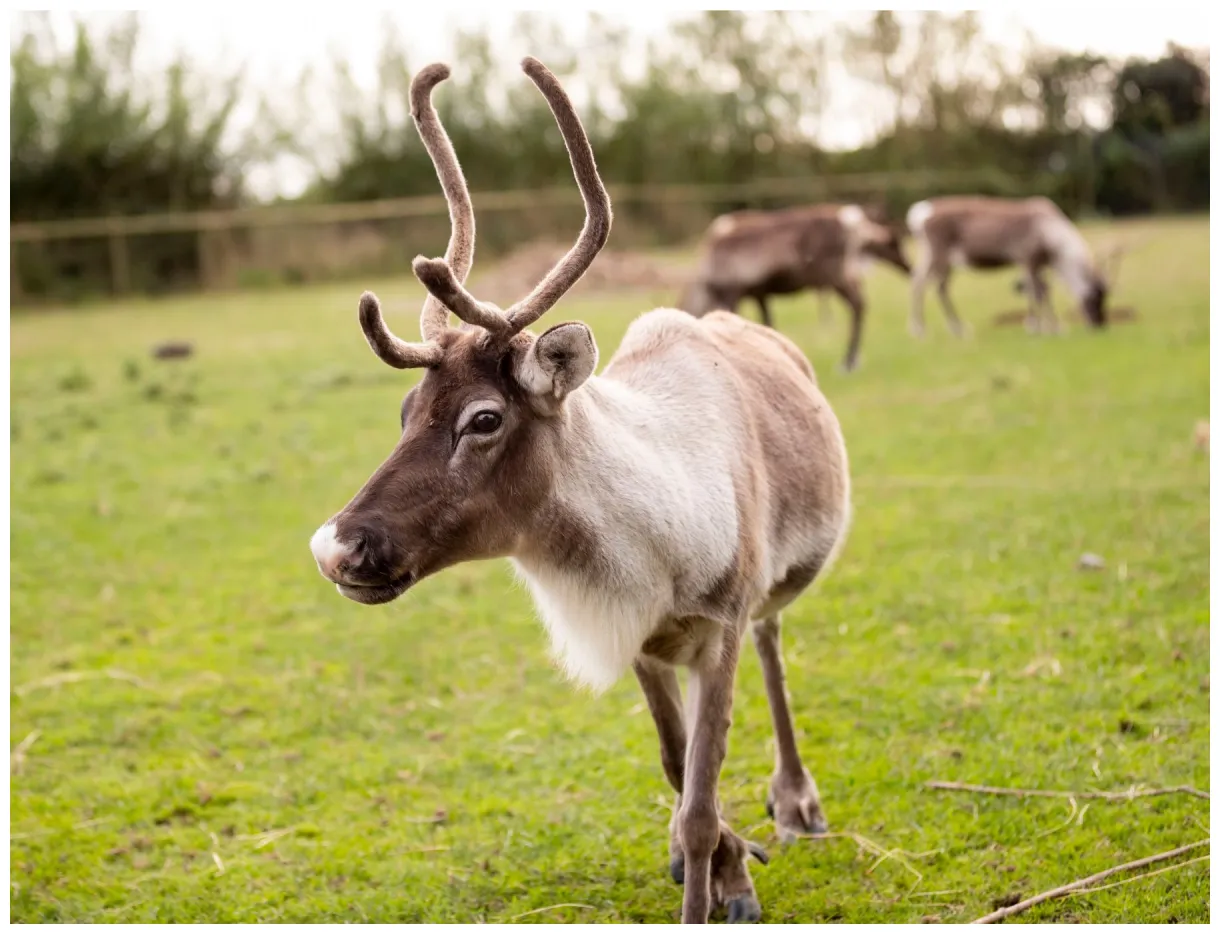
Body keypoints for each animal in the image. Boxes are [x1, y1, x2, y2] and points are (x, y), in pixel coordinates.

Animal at [308, 58, 852, 925]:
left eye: (484, 418)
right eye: (405, 412)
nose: (336, 547)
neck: (654, 533)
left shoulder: (719, 627)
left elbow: (701, 803)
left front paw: (719, 887)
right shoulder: (642, 642)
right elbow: (677, 771)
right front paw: (728, 868)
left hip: (769, 593)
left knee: (774, 643)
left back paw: (796, 799)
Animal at [677, 203, 911, 373]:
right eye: (894, 243)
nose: (909, 267)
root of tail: (855, 225)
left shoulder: (734, 292)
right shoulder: (759, 293)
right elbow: (768, 322)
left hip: (835, 275)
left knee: (858, 305)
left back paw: (848, 361)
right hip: (845, 274)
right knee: (860, 304)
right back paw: (851, 359)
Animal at [905, 195, 1118, 338]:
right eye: (1096, 297)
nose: (1099, 325)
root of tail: (919, 213)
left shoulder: (1039, 264)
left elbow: (1045, 290)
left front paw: (1056, 328)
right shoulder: (1027, 259)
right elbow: (1035, 292)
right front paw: (1034, 327)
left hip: (930, 254)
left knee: (918, 282)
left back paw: (922, 329)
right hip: (940, 252)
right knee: (937, 287)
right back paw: (954, 329)